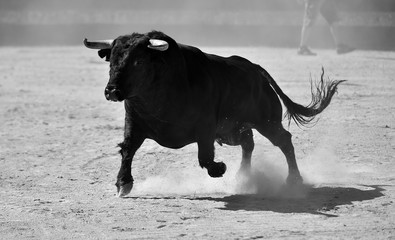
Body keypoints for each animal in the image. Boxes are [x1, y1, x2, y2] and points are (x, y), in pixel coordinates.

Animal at [84, 31, 344, 197]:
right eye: (111, 60)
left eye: (138, 61)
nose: (112, 91)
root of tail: (256, 70)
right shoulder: (134, 123)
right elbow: (128, 150)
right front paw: (123, 184)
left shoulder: (206, 128)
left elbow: (205, 157)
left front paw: (220, 169)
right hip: (232, 130)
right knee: (248, 143)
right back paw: (243, 177)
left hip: (266, 122)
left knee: (284, 141)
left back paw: (293, 181)